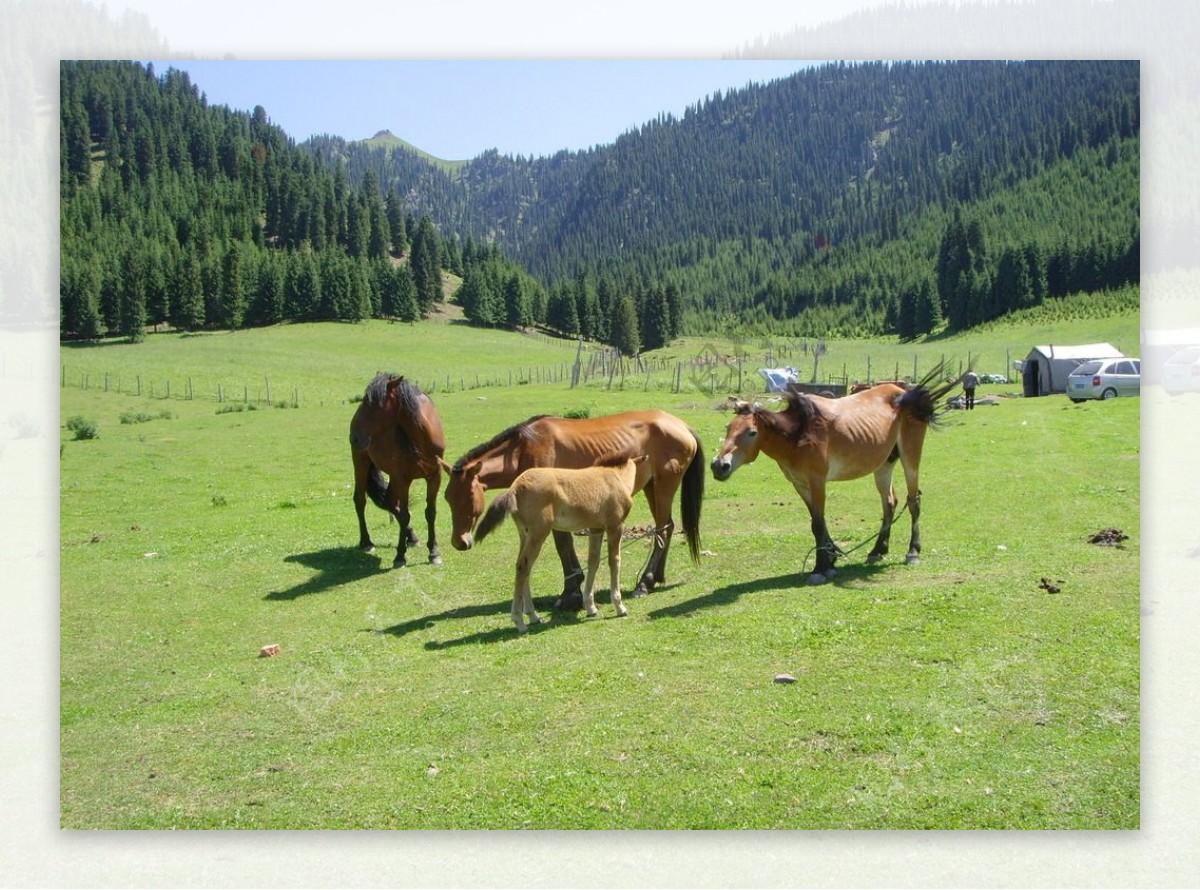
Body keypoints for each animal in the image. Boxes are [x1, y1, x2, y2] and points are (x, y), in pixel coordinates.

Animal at [350, 371, 448, 568]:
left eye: (373, 404)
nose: (354, 437)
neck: (420, 437)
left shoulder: (434, 476)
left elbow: (430, 513)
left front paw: (434, 552)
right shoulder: (403, 479)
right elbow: (404, 515)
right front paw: (400, 556)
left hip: (392, 477)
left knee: (389, 502)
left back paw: (412, 537)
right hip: (362, 464)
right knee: (361, 500)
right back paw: (366, 542)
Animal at [441, 410, 700, 606]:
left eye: (467, 496)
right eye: (447, 497)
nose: (459, 542)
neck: (523, 449)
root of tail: (683, 426)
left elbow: (563, 545)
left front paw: (570, 593)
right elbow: (564, 545)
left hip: (664, 486)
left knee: (663, 529)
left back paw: (645, 582)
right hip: (651, 487)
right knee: (667, 527)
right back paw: (656, 577)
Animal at [472, 453, 652, 633]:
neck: (617, 477)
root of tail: (514, 488)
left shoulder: (596, 529)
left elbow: (593, 562)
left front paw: (591, 608)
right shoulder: (615, 526)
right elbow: (614, 562)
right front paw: (620, 607)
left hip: (525, 535)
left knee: (523, 567)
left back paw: (533, 616)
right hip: (539, 533)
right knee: (523, 567)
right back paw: (519, 621)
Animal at [710, 362, 955, 585]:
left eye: (751, 432)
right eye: (728, 428)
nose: (719, 465)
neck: (799, 433)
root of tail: (904, 394)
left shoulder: (817, 481)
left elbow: (818, 524)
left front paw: (821, 567)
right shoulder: (800, 483)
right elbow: (816, 522)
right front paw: (832, 558)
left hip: (910, 457)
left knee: (913, 501)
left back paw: (913, 552)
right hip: (883, 465)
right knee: (889, 503)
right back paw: (877, 550)